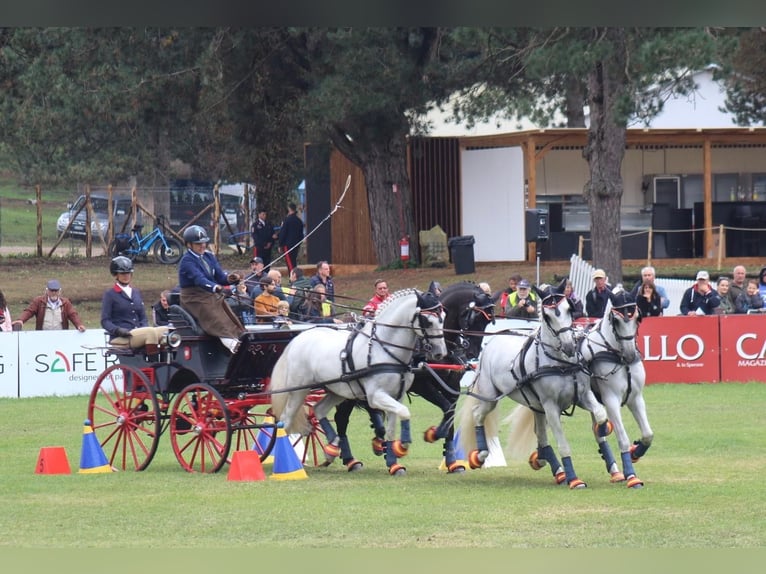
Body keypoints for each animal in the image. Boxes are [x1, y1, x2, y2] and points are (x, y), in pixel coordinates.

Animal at [270, 290, 450, 480]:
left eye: (443, 318)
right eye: (427, 321)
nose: (440, 353)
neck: (383, 349)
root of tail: (298, 339)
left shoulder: (397, 396)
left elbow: (392, 427)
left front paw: (393, 464)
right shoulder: (375, 396)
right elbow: (403, 412)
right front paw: (403, 446)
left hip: (337, 390)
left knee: (319, 409)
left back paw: (332, 447)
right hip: (299, 390)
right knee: (285, 420)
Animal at [460, 288, 608, 490]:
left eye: (569, 309)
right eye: (547, 316)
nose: (569, 346)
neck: (561, 363)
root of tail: (493, 340)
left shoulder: (582, 396)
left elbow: (600, 413)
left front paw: (603, 430)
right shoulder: (551, 406)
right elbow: (563, 444)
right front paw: (574, 479)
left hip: (536, 405)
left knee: (541, 435)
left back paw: (546, 462)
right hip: (491, 396)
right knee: (477, 413)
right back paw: (481, 455)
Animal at [576, 288, 656, 490]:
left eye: (637, 318)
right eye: (617, 320)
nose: (630, 355)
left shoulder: (636, 398)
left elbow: (648, 434)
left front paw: (636, 453)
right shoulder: (611, 400)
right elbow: (623, 438)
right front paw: (632, 476)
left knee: (598, 432)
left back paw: (614, 471)